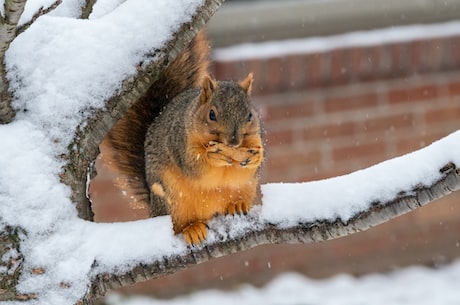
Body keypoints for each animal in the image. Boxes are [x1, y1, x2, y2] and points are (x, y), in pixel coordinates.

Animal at [102, 31, 264, 245]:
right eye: (212, 114)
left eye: (250, 116)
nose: (234, 142)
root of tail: (154, 208)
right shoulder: (179, 141)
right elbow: (194, 165)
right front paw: (212, 156)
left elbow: (247, 168)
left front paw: (255, 157)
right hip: (172, 200)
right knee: (178, 224)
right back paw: (191, 229)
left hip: (244, 189)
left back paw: (236, 205)